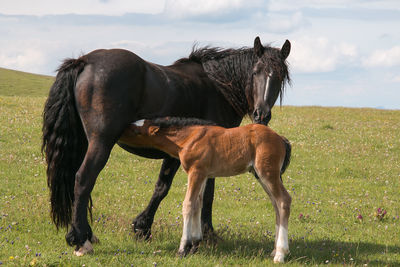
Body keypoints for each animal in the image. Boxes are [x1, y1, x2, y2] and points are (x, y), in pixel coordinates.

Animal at [119, 119, 290, 264]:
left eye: (136, 131)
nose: (120, 132)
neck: (188, 139)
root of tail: (281, 139)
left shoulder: (196, 172)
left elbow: (188, 205)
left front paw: (183, 249)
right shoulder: (203, 175)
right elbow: (197, 204)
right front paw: (195, 244)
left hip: (267, 173)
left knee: (284, 200)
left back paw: (280, 254)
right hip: (261, 175)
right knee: (275, 204)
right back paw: (274, 251)